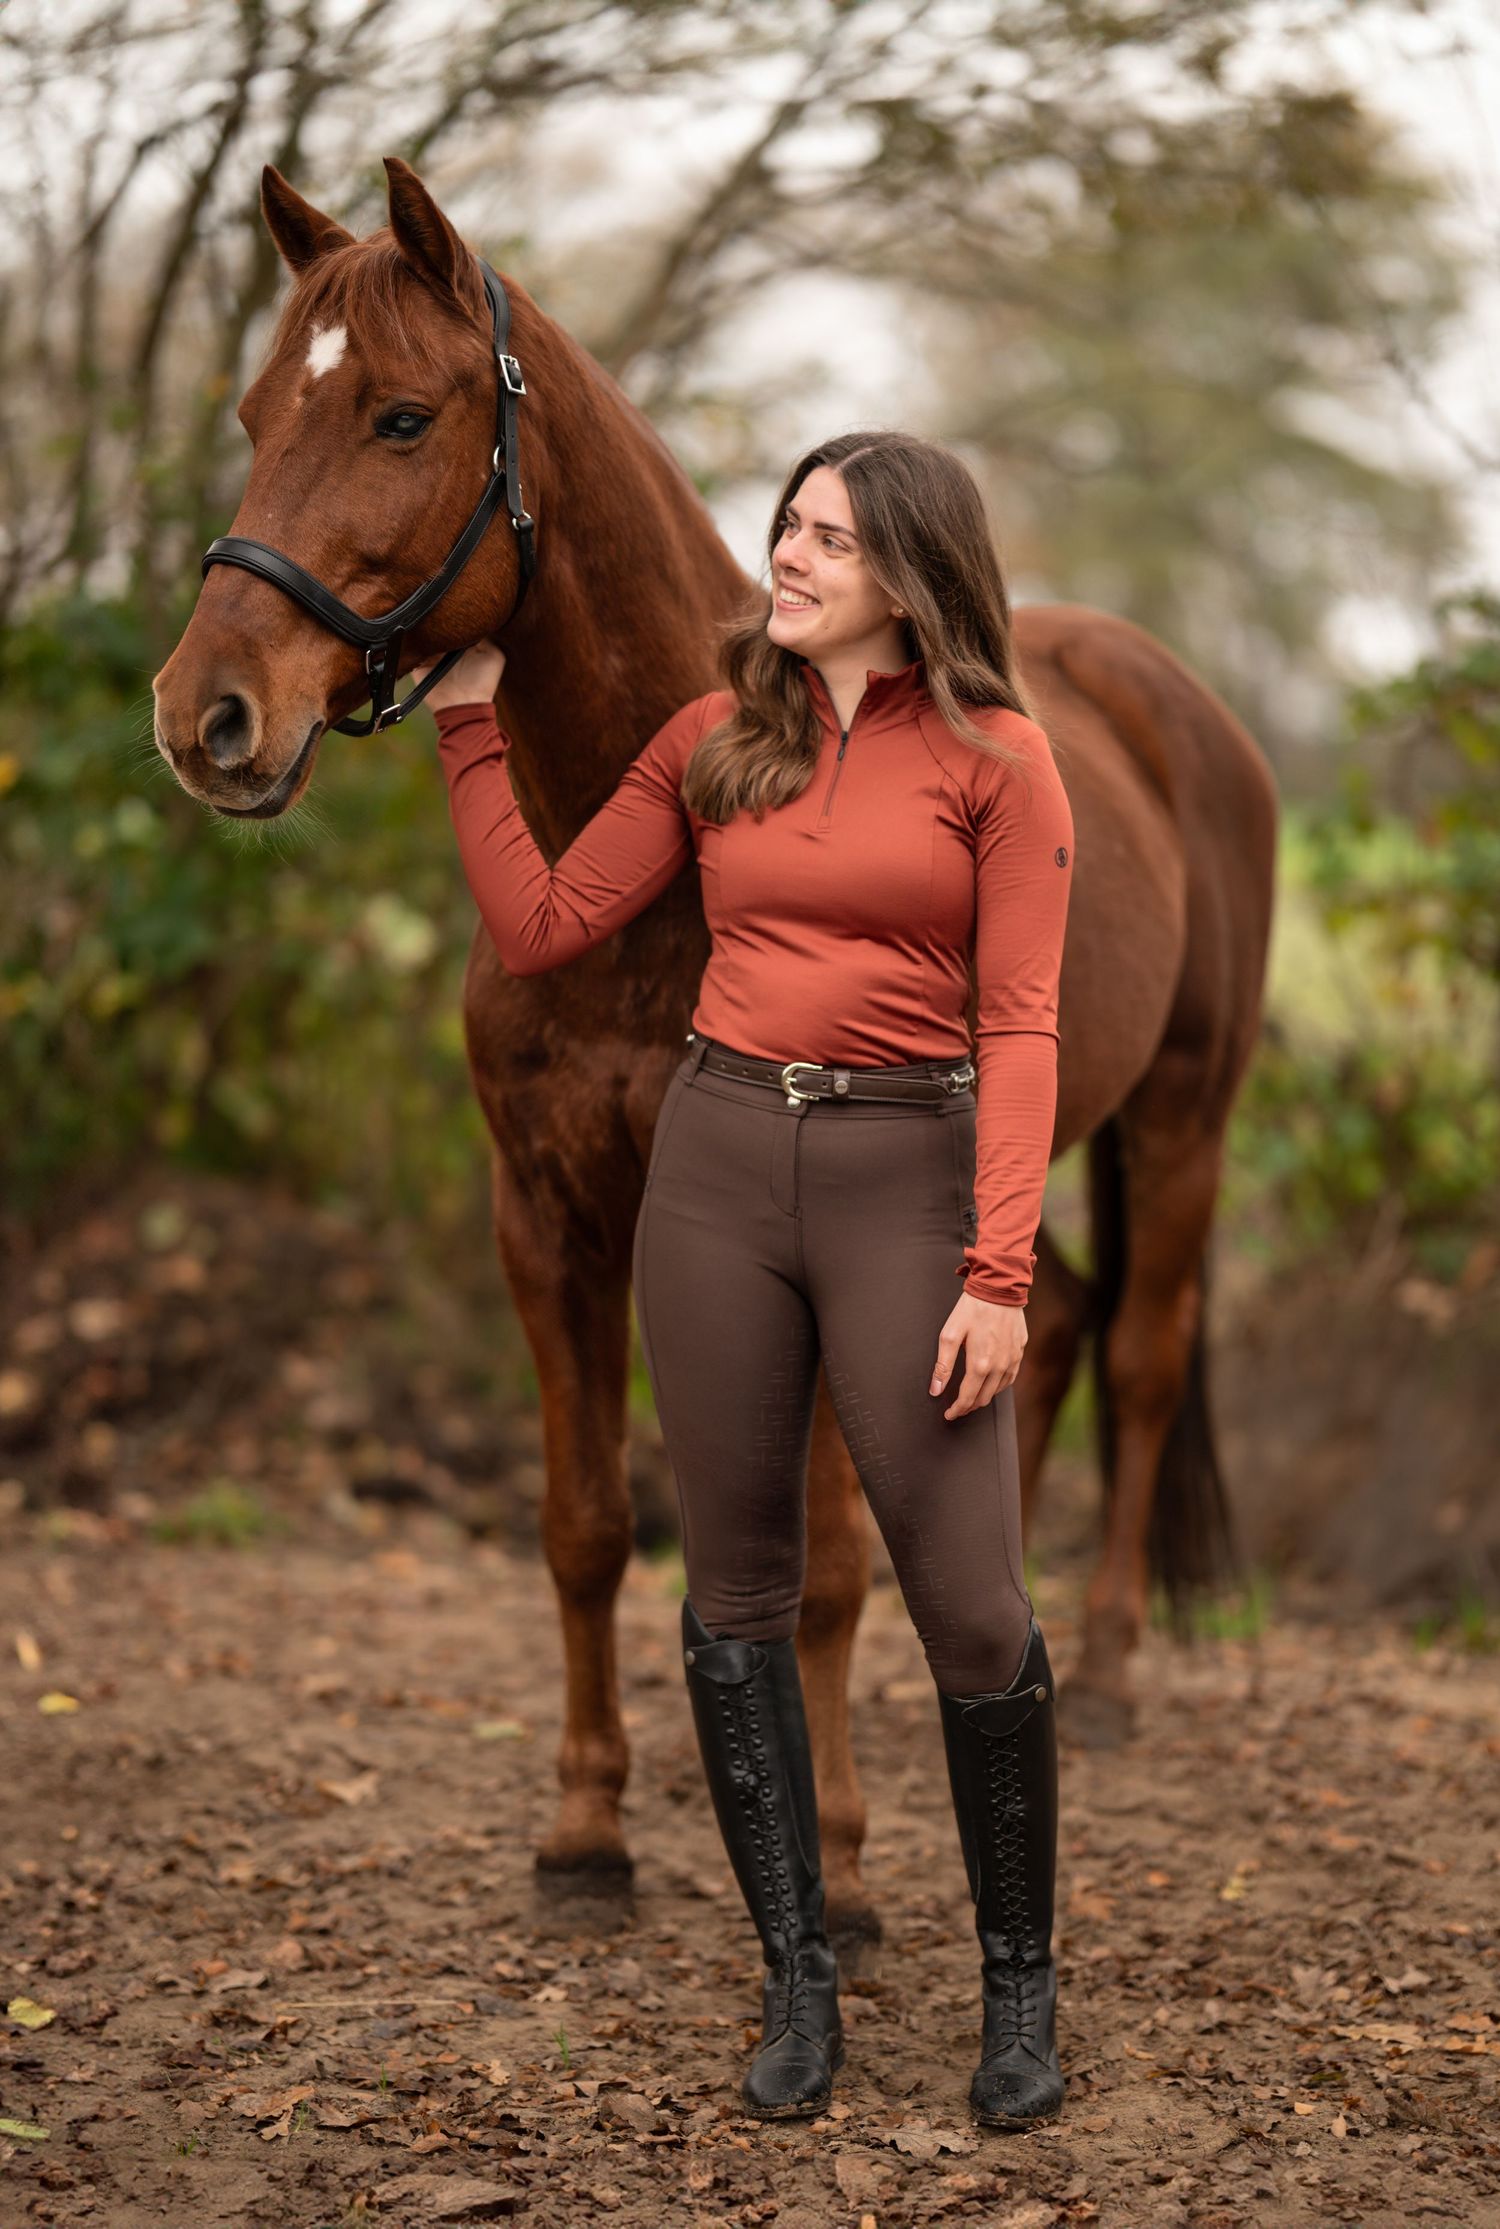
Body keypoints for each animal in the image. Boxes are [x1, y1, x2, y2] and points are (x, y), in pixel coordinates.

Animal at [151, 155, 1278, 1954]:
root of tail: (1179, 705)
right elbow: (589, 1526)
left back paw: (1098, 1677)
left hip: (1182, 1119)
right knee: (1049, 1342)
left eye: (400, 416)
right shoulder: (547, 1218)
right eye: (259, 410)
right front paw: (584, 1833)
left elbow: (817, 1555)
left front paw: (845, 1860)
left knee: (1151, 1353)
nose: (209, 715)